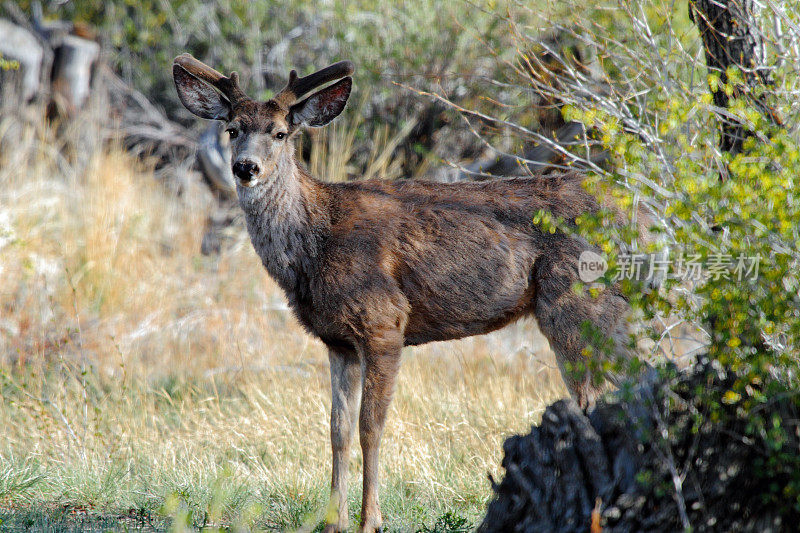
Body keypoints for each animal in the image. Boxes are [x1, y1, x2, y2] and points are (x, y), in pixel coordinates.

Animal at [173, 54, 644, 532]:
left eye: (280, 133)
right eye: (233, 129)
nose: (245, 167)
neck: (316, 242)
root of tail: (636, 215)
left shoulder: (384, 320)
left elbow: (370, 426)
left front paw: (371, 520)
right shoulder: (337, 341)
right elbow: (337, 429)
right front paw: (334, 521)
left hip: (578, 306)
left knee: (606, 393)